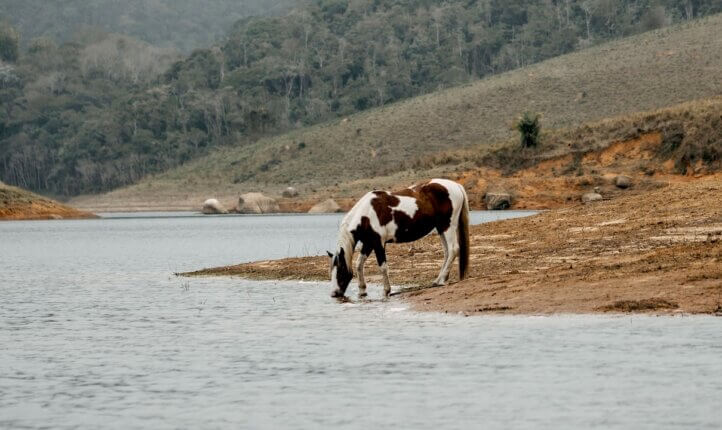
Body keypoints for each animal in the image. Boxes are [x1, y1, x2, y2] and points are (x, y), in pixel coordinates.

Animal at [328, 178, 469, 299]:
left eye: (340, 271)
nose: (334, 294)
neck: (366, 215)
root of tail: (456, 185)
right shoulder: (368, 243)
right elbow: (359, 264)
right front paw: (362, 290)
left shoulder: (378, 243)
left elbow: (383, 266)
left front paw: (386, 290)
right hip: (441, 228)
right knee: (447, 252)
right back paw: (440, 279)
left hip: (448, 226)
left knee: (453, 249)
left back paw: (441, 280)